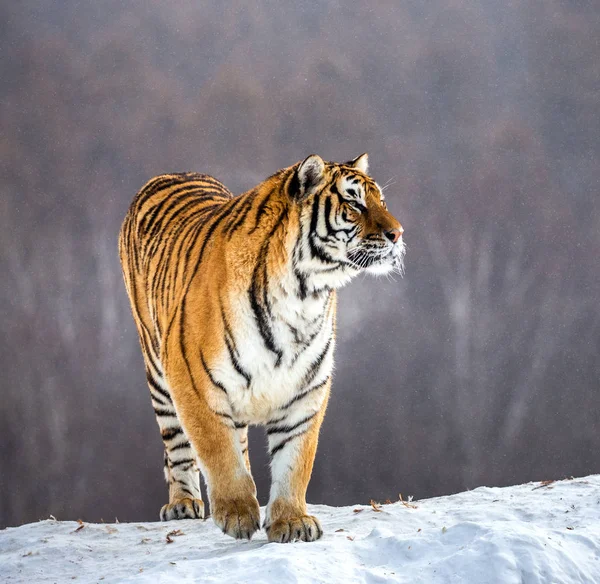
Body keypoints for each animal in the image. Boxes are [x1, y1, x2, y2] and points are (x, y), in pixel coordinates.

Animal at [119, 154, 406, 544]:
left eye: (382, 202)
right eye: (354, 203)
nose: (398, 234)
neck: (303, 294)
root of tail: (173, 172)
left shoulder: (305, 387)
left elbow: (295, 461)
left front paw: (292, 521)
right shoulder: (192, 378)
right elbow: (217, 450)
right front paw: (237, 514)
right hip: (159, 372)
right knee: (178, 445)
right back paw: (183, 503)